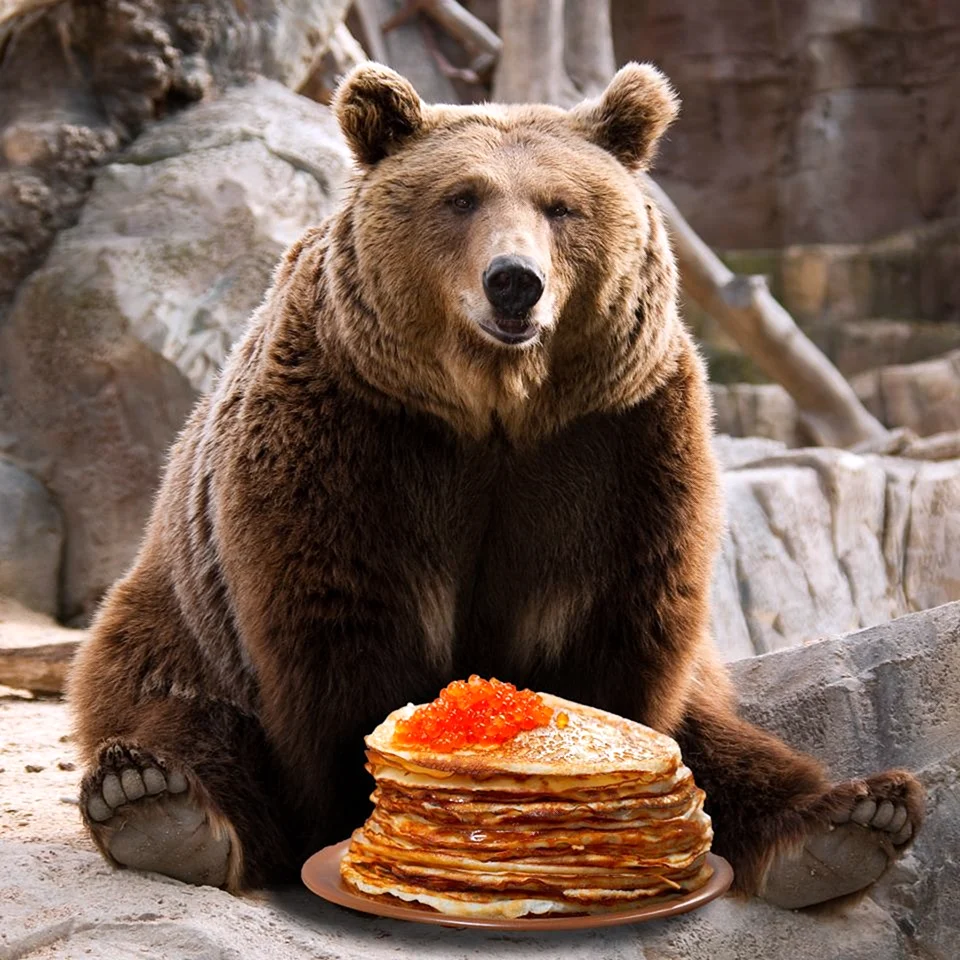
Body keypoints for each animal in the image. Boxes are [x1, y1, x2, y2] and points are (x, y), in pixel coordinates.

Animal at [69, 61, 924, 907]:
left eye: (561, 206)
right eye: (461, 197)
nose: (515, 282)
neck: (497, 407)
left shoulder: (619, 443)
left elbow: (619, 627)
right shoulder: (353, 429)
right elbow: (341, 619)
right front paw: (357, 820)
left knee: (728, 742)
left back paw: (846, 823)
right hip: (177, 623)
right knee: (179, 714)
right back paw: (158, 805)